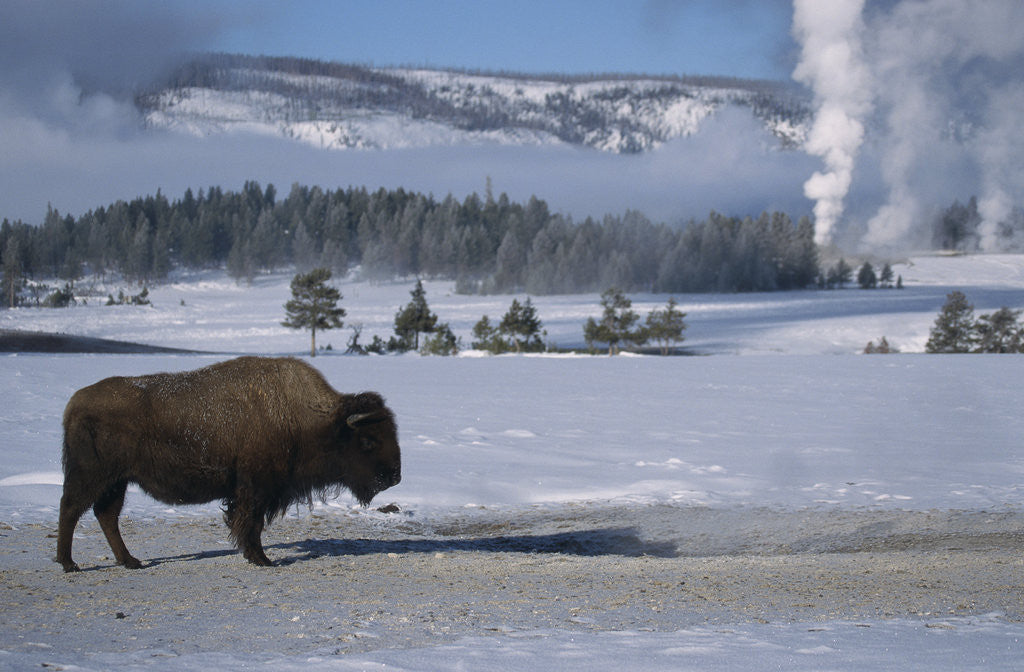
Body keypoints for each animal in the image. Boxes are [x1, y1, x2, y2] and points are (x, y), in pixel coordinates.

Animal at [56, 356, 401, 571]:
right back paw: (69, 564)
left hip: (117, 481)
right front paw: (261, 559)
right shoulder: (255, 489)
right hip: (94, 475)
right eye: (368, 441)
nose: (394, 477)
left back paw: (130, 561)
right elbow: (251, 523)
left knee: (106, 515)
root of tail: (75, 403)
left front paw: (257, 556)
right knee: (72, 508)